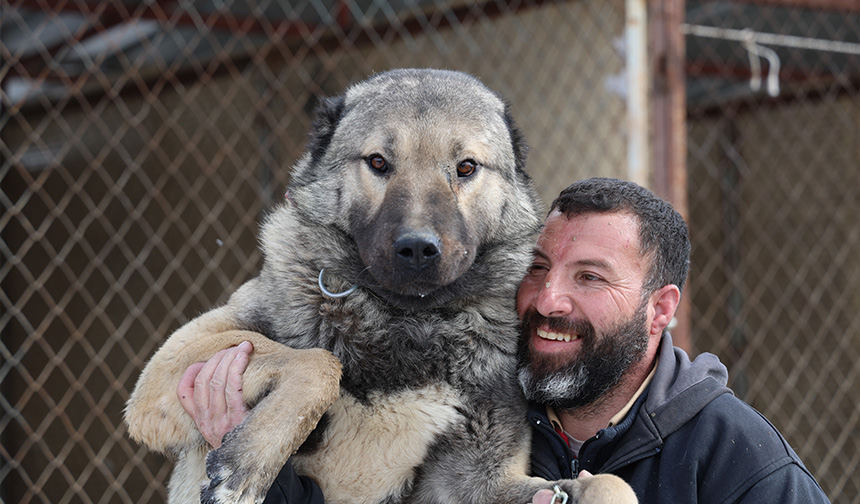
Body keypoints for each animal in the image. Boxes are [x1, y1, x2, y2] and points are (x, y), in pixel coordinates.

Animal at [124, 68, 636, 504]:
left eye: (466, 167)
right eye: (377, 162)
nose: (418, 249)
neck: (403, 322)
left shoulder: (481, 482)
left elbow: (610, 483)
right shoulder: (165, 373)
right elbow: (319, 364)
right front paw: (250, 462)